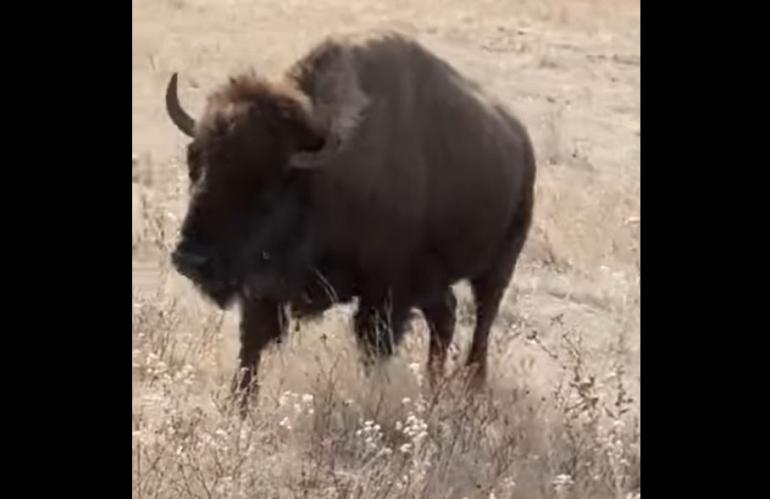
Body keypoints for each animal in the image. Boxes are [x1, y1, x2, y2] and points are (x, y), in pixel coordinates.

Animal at [165, 31, 536, 413]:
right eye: (195, 161)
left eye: (265, 182)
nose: (189, 259)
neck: (322, 178)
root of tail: (522, 143)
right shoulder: (264, 288)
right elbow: (251, 342)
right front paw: (240, 406)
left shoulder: (385, 293)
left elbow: (373, 348)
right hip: (434, 280)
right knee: (445, 317)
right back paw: (433, 386)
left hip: (497, 266)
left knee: (482, 320)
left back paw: (472, 386)